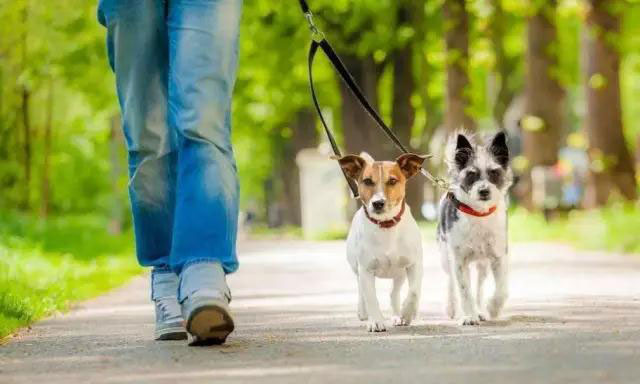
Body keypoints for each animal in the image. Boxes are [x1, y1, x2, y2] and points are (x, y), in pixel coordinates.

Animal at [338, 152, 428, 332]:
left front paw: (407, 313)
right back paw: (363, 311)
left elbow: (414, 291)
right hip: (356, 267)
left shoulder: (414, 264)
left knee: (394, 293)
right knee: (361, 289)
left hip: (400, 273)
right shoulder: (366, 269)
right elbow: (371, 298)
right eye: (367, 181)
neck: (386, 225)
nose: (378, 203)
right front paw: (376, 321)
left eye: (392, 181)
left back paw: (397, 315)